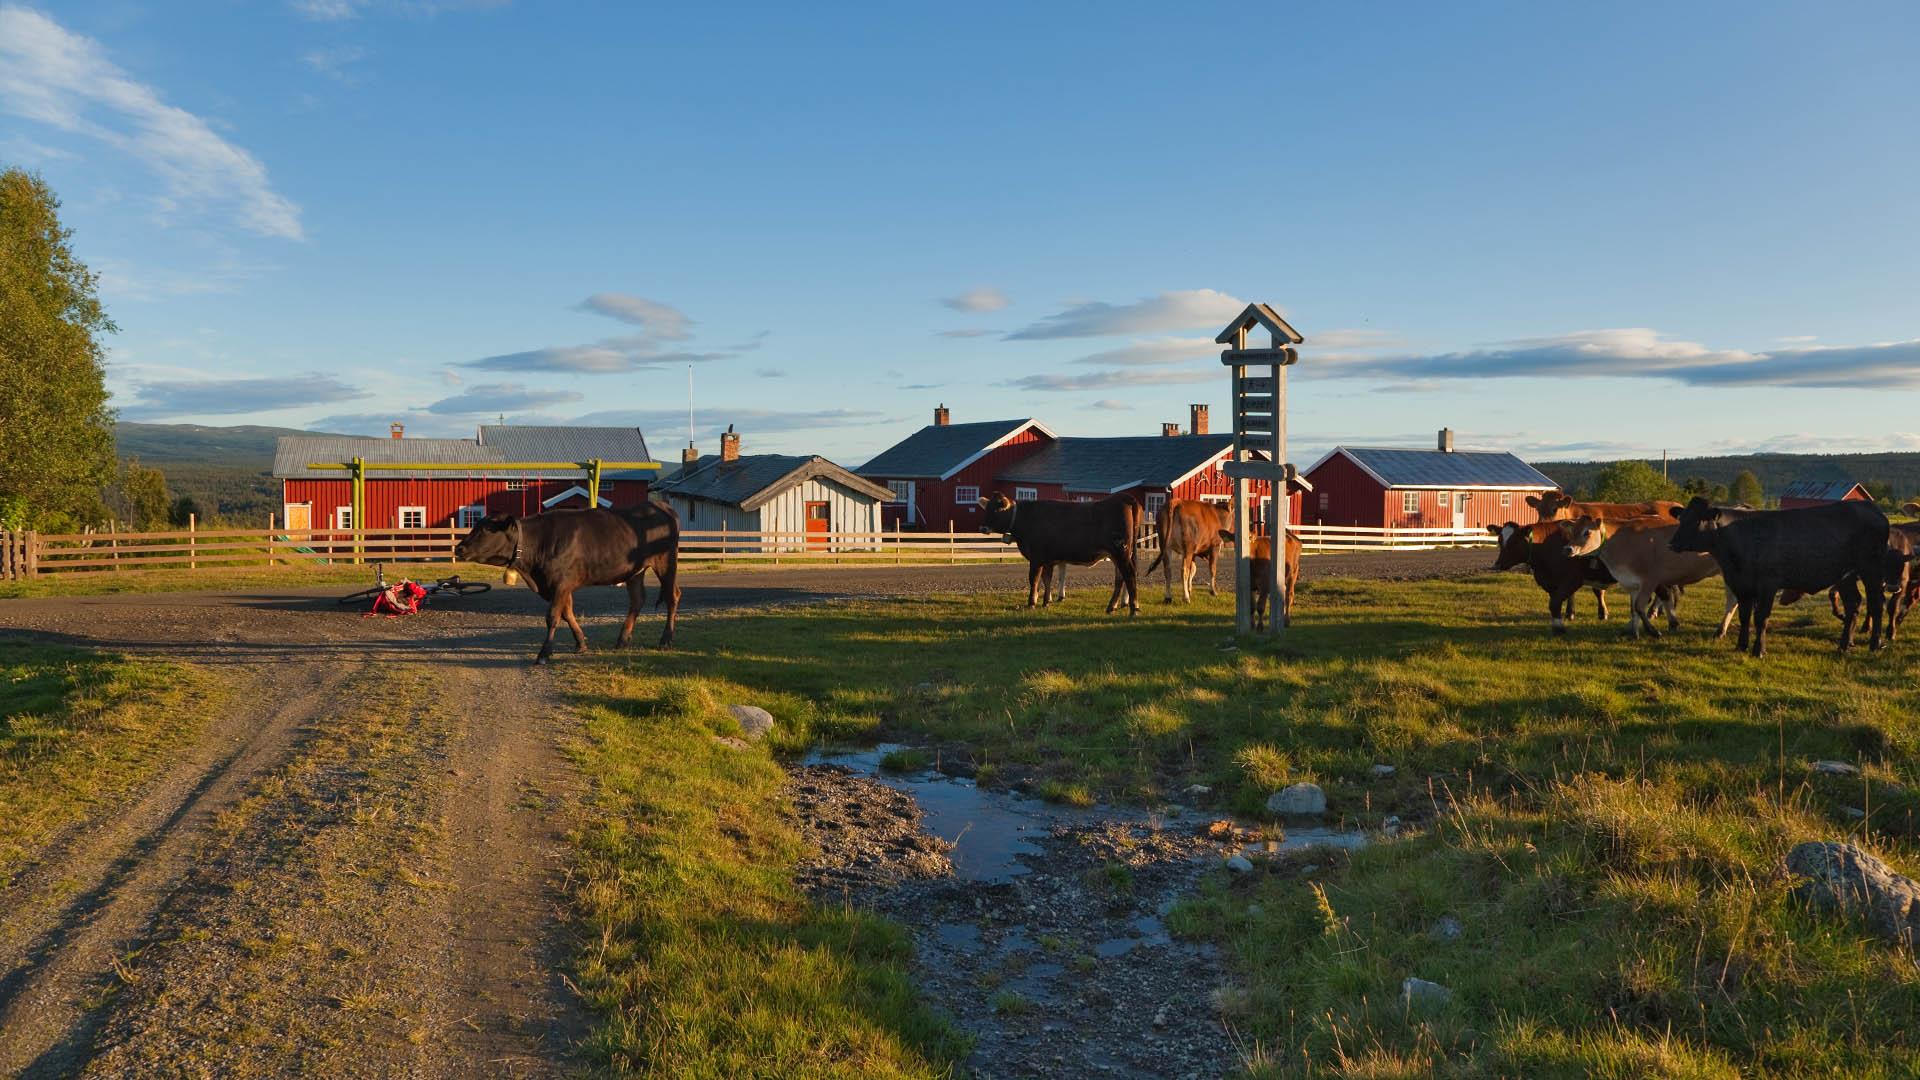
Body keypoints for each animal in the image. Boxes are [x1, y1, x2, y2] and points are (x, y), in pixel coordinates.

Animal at [455, 499, 683, 661]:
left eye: (486, 529)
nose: (459, 548)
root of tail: (659, 505)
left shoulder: (561, 583)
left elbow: (553, 617)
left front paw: (544, 653)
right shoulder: (557, 586)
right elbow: (567, 613)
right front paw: (581, 643)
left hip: (666, 561)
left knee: (672, 596)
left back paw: (666, 640)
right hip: (635, 571)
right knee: (637, 600)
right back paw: (623, 640)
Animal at [975, 490, 1136, 611]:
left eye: (997, 509)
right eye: (987, 508)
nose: (983, 528)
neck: (1026, 519)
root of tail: (1122, 498)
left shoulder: (1036, 558)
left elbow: (1034, 579)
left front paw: (1032, 602)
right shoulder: (1048, 559)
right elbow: (1046, 579)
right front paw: (1046, 601)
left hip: (1120, 552)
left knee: (1128, 574)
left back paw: (1130, 606)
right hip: (1119, 554)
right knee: (1121, 577)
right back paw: (1115, 605)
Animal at [1666, 491, 1889, 653]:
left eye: (1697, 520)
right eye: (1682, 518)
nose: (1672, 543)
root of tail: (1870, 507)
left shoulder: (1767, 585)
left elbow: (1761, 617)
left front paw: (1759, 650)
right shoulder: (1741, 584)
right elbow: (1745, 616)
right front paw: (1741, 646)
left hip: (1871, 569)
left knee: (1876, 603)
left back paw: (1875, 644)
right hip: (1845, 575)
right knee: (1854, 604)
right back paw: (1843, 645)